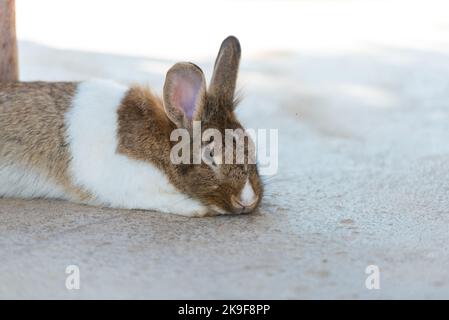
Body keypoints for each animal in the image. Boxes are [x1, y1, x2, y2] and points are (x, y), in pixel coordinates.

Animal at [0, 35, 262, 218]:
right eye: (210, 155)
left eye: (251, 147)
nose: (247, 201)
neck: (164, 145)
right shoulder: (129, 184)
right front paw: (199, 209)